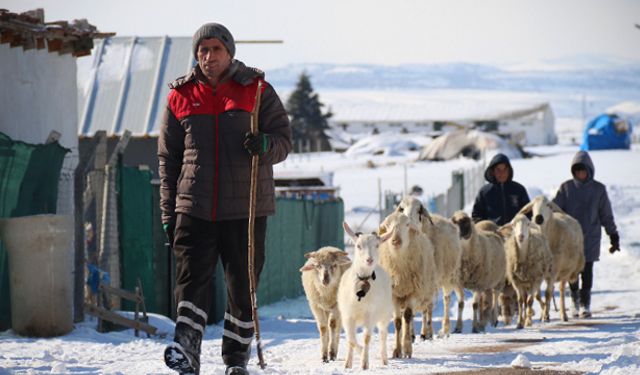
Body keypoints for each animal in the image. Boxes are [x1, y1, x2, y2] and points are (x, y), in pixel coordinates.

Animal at [338, 222, 392, 372]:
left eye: (377, 245)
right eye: (358, 245)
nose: (369, 260)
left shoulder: (370, 314)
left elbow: (367, 337)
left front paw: (364, 363)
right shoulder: (347, 315)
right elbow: (350, 339)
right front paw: (349, 362)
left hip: (385, 314)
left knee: (383, 334)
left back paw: (384, 359)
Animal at [378, 213, 438, 360]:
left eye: (406, 225)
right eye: (387, 226)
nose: (395, 240)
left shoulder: (414, 293)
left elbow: (407, 316)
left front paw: (407, 348)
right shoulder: (393, 295)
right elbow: (397, 322)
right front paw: (397, 350)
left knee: (411, 317)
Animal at [392, 197, 462, 338]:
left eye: (419, 210)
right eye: (401, 209)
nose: (409, 223)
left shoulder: (427, 279)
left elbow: (426, 307)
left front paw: (425, 332)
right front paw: (411, 334)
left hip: (448, 276)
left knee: (445, 300)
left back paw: (443, 328)